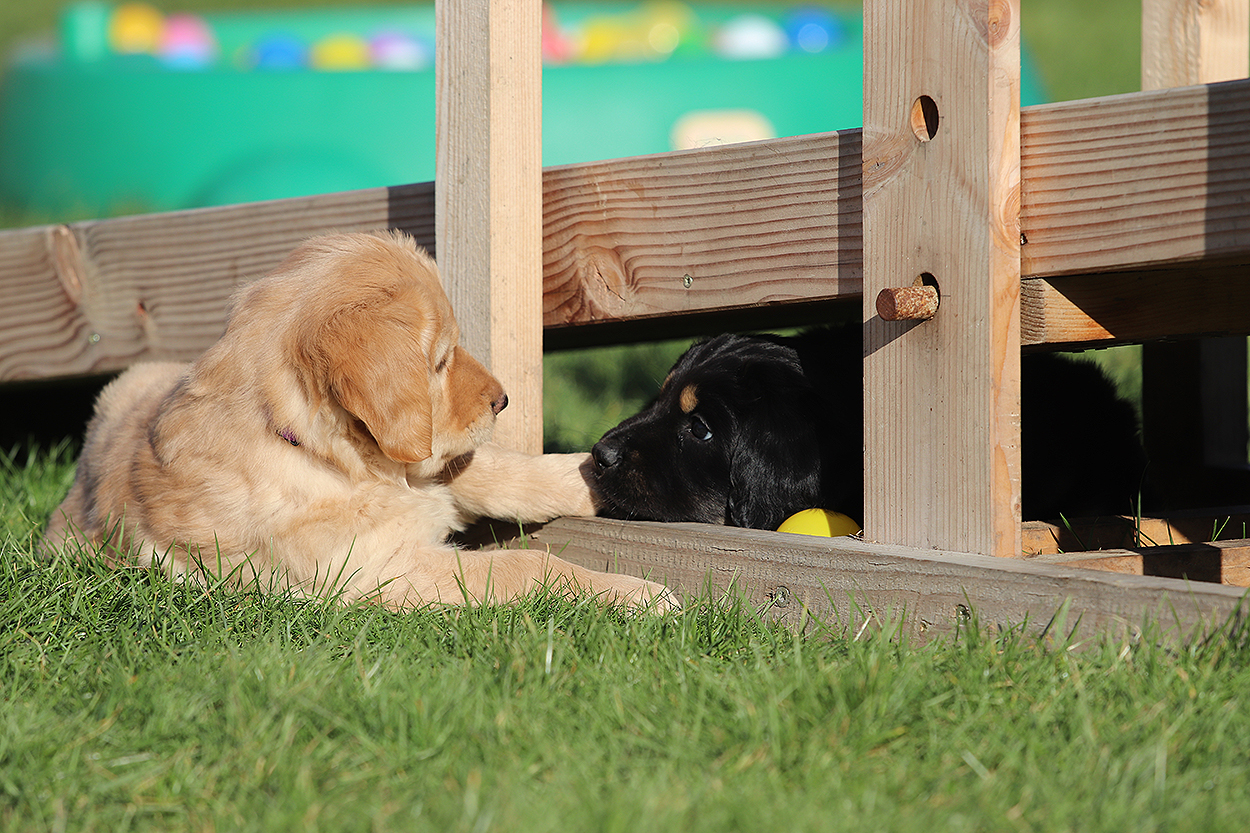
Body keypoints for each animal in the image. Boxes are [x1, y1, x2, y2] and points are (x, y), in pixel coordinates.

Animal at [45, 231, 670, 609]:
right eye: (440, 361)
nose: (502, 400)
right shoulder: (381, 569)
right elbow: (523, 566)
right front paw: (638, 592)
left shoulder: (426, 472)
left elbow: (502, 472)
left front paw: (597, 478)